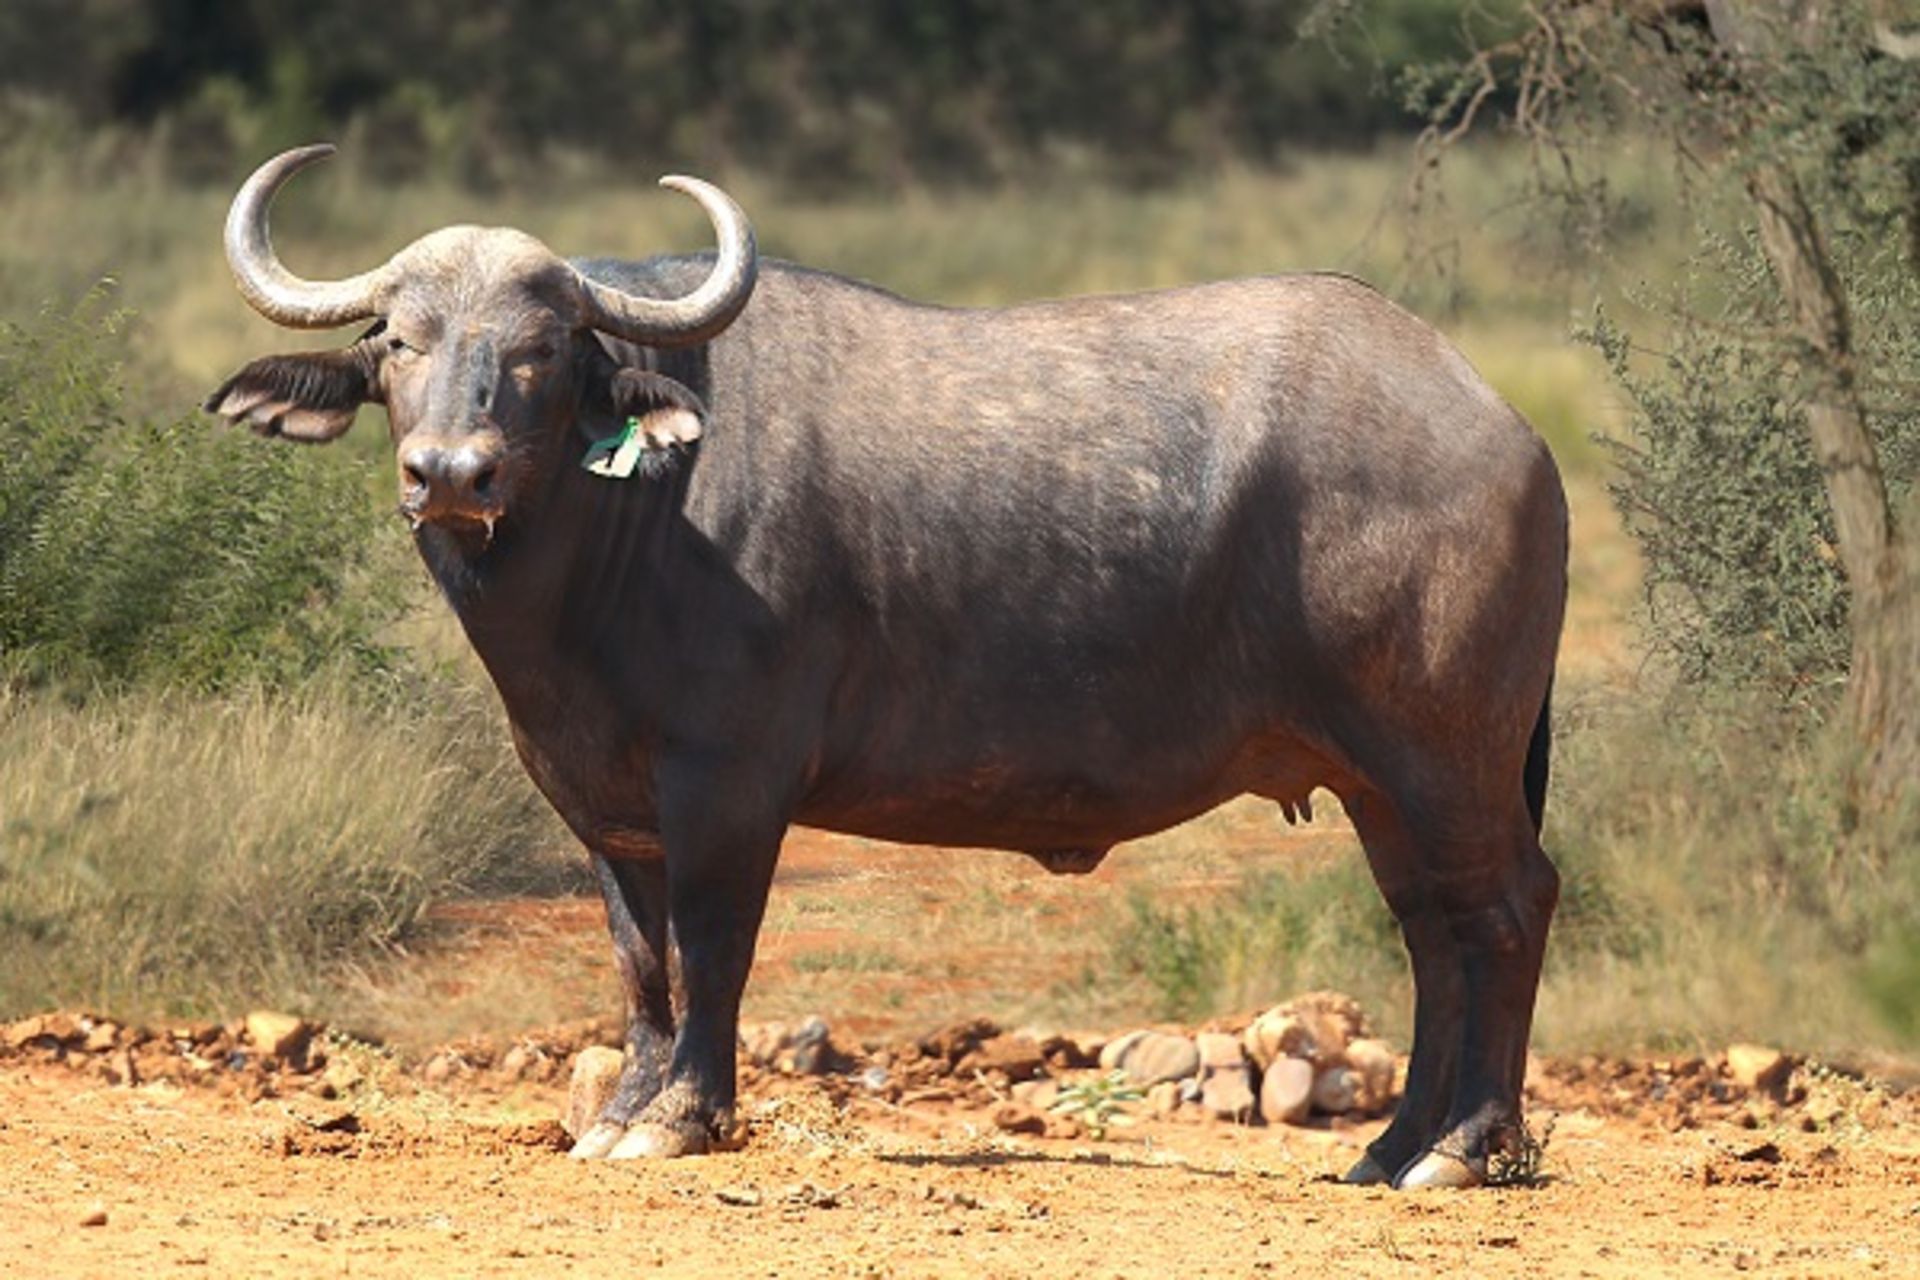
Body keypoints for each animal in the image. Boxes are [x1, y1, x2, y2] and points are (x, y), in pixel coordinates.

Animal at [210, 142, 1566, 1189]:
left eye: (541, 348)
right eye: (399, 340)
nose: (452, 472)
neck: (629, 521)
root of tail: (1501, 425)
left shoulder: (729, 784)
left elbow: (714, 944)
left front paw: (682, 1119)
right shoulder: (604, 803)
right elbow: (642, 964)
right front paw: (621, 1113)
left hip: (1446, 756)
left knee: (1504, 907)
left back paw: (1466, 1148)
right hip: (1376, 780)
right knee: (1431, 931)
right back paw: (1391, 1146)